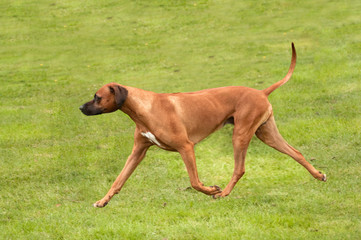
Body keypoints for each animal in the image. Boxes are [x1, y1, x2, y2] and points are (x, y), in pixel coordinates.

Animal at [80, 43, 324, 208]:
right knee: (296, 152)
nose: (81, 107)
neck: (144, 108)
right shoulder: (138, 152)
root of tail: (261, 92)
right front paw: (102, 201)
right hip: (266, 133)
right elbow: (118, 180)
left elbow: (195, 182)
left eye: (97, 97)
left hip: (240, 134)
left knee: (239, 168)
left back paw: (223, 193)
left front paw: (212, 189)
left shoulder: (186, 147)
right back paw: (318, 175)